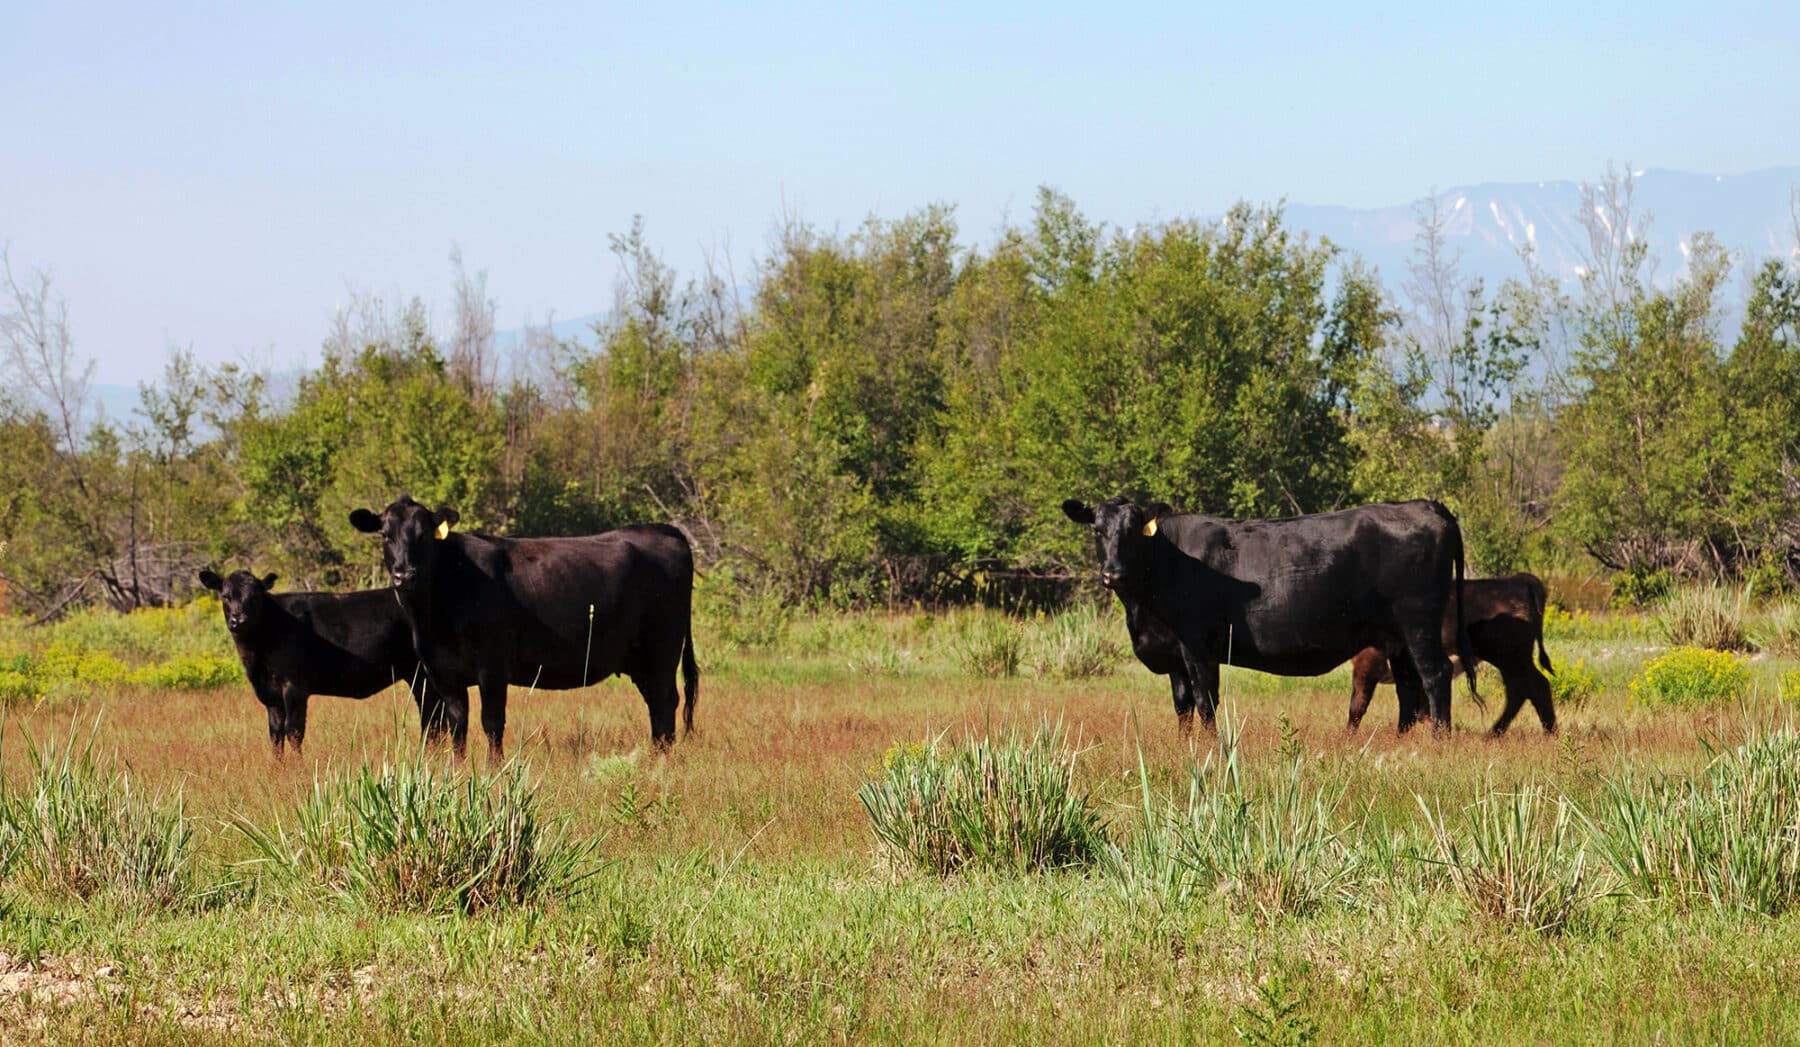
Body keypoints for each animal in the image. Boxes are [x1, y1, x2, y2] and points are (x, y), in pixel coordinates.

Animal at [198, 568, 434, 755]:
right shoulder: (269, 693)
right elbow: (275, 734)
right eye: (225, 596)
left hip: (424, 673)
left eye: (255, 597)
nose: (239, 620)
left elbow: (293, 731)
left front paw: (297, 769)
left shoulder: (294, 686)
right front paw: (278, 768)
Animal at [348, 496, 700, 760]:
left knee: (665, 701)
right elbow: (457, 724)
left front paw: (493, 769)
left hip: (663, 650)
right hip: (641, 660)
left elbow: (491, 722)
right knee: (656, 705)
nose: (404, 575)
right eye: (385, 534)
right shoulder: (441, 671)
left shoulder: (492, 666)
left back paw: (661, 761)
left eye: (423, 534)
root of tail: (663, 530)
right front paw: (457, 768)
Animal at [1061, 496, 1472, 734]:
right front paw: (1185, 745)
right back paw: (1404, 740)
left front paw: (1209, 748)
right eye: (1097, 530)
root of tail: (1421, 504)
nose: (1112, 574)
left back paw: (1439, 739)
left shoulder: (1198, 646)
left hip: (1418, 622)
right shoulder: (1173, 653)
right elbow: (1182, 705)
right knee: (1408, 685)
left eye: (1133, 531)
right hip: (1395, 635)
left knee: (1435, 674)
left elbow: (1205, 700)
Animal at [1347, 572, 1556, 735]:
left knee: (1535, 686)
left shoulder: (1369, 660)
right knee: (1519, 690)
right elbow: (1419, 708)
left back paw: (1546, 734)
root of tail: (1518, 580)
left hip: (1511, 656)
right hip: (1508, 658)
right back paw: (1496, 733)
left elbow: (1358, 704)